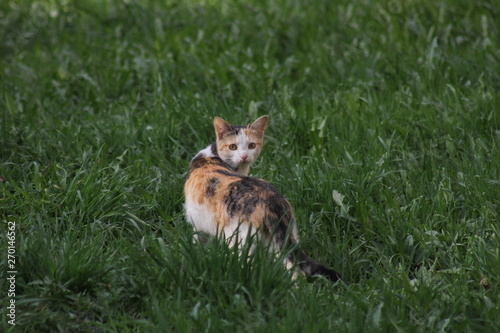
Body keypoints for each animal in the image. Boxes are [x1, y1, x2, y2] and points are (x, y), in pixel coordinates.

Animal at [182, 115, 342, 280]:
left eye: (251, 145)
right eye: (233, 147)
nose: (244, 156)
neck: (213, 156)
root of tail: (271, 201)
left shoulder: (198, 224)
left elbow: (197, 243)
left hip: (240, 241)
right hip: (283, 238)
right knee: (292, 266)